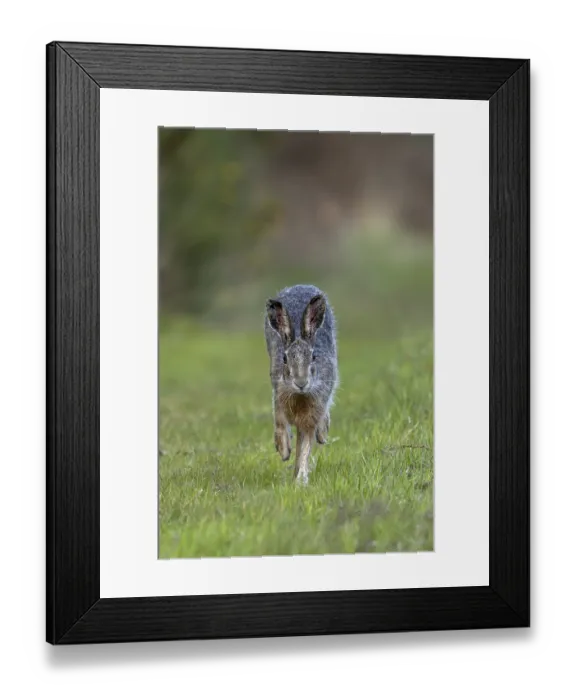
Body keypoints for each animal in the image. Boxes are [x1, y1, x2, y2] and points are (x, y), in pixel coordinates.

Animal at [264, 284, 338, 485]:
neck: (300, 396)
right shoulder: (278, 396)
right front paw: (283, 450)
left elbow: (305, 447)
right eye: (284, 359)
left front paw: (301, 480)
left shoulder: (311, 416)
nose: (301, 383)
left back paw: (323, 433)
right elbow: (280, 423)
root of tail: (300, 285)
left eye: (313, 357)